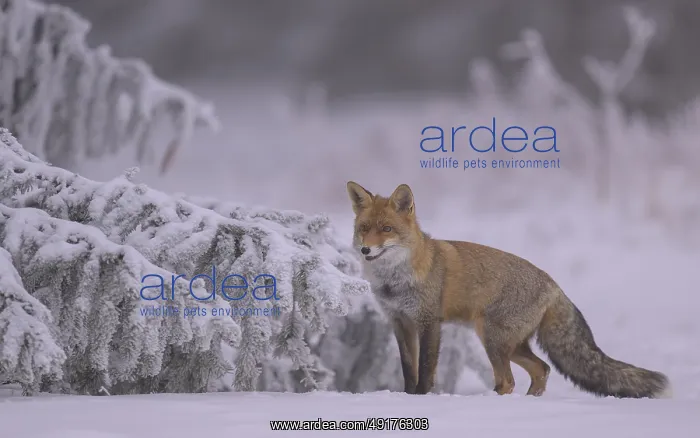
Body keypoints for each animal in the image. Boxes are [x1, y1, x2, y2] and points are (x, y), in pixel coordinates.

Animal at [346, 181, 670, 398]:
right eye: (364, 228)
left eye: (387, 229)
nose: (365, 249)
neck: (394, 282)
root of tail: (554, 285)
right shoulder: (400, 322)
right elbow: (407, 369)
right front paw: (408, 397)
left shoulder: (428, 322)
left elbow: (425, 369)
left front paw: (422, 398)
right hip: (509, 344)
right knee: (541, 370)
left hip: (492, 338)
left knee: (509, 381)